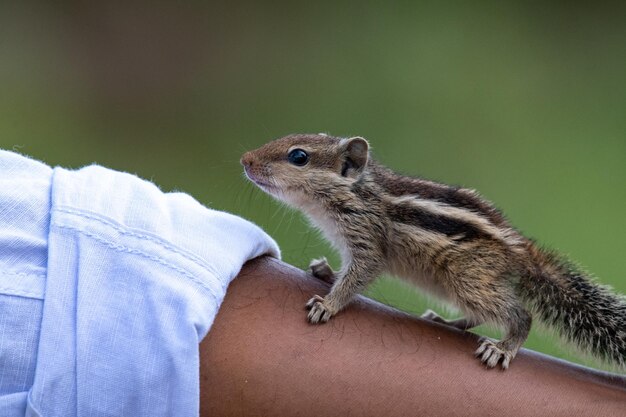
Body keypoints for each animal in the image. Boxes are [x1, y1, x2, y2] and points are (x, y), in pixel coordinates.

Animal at [240, 132, 624, 368]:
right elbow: (346, 271)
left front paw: (328, 304)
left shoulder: (368, 241)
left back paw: (503, 347)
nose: (245, 159)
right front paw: (325, 272)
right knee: (480, 314)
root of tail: (522, 249)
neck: (356, 192)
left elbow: (358, 276)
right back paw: (447, 322)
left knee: (519, 314)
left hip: (468, 279)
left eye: (298, 156)